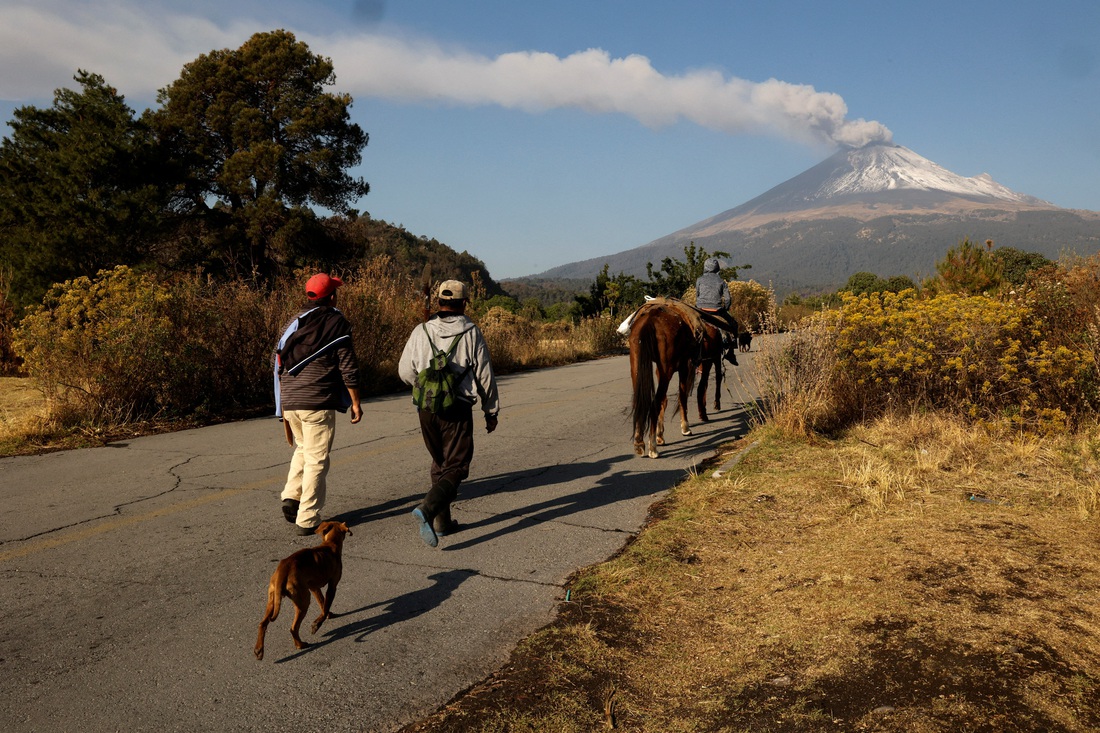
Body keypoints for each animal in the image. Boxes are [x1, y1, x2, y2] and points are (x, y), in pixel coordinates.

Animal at [251, 517, 347, 660]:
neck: (330, 544)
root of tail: (283, 569)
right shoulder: (332, 586)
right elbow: (325, 607)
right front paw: (317, 624)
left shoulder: (314, 587)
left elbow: (322, 603)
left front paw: (327, 615)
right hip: (303, 601)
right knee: (293, 628)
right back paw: (300, 645)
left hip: (272, 600)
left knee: (263, 624)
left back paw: (259, 650)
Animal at [629, 299, 721, 453]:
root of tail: (650, 320)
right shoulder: (687, 366)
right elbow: (683, 396)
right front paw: (685, 427)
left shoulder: (660, 370)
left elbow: (665, 400)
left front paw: (661, 435)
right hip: (669, 370)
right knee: (655, 403)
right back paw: (652, 447)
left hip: (638, 366)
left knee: (640, 403)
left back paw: (639, 442)